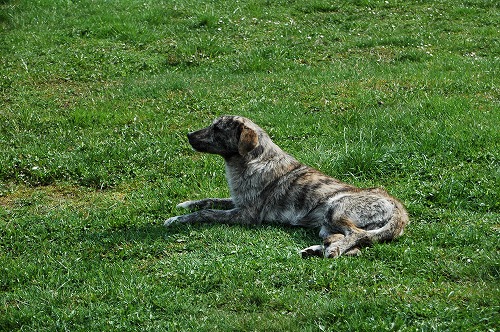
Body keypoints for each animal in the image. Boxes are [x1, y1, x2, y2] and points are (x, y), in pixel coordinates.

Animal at [166, 115, 408, 258]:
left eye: (217, 129)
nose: (188, 135)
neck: (253, 160)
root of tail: (401, 211)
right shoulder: (237, 201)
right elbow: (209, 200)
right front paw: (185, 204)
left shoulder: (245, 214)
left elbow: (205, 213)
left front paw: (176, 220)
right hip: (326, 225)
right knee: (354, 245)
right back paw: (316, 249)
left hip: (336, 210)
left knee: (356, 236)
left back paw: (331, 250)